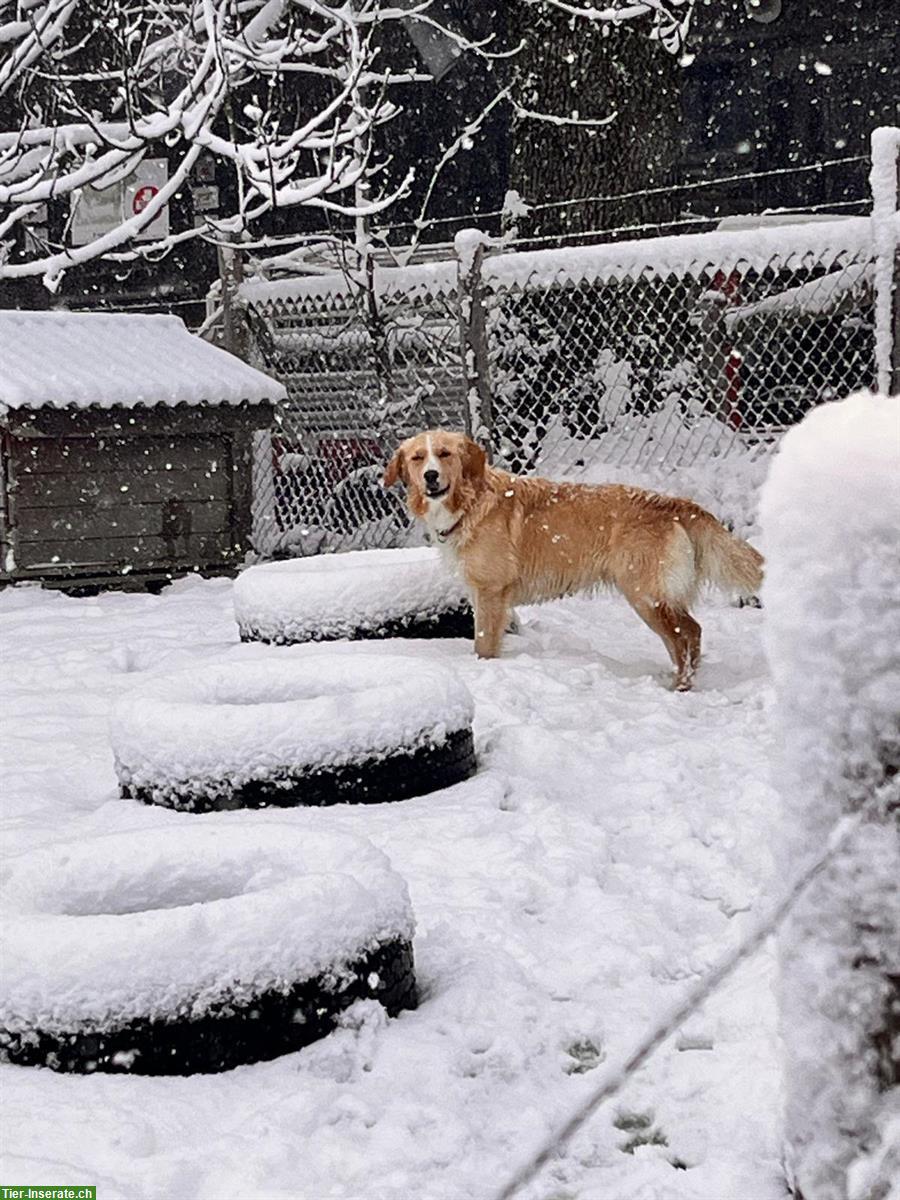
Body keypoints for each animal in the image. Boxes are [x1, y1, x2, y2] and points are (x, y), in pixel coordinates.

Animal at [384, 432, 763, 696]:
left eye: (444, 454)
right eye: (418, 458)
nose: (431, 476)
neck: (470, 501)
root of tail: (674, 503)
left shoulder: (491, 592)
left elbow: (484, 646)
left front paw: (483, 670)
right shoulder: (486, 595)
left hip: (645, 596)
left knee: (687, 634)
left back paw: (681, 687)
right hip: (657, 598)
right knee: (688, 634)